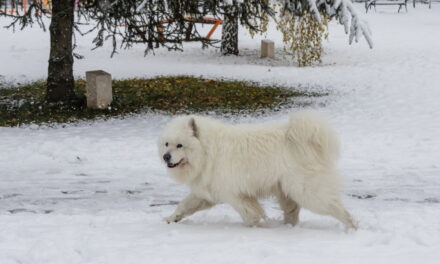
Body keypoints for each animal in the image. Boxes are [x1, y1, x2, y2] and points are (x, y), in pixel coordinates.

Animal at [158, 112, 358, 229]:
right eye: (166, 144)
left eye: (180, 145)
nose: (166, 157)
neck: (207, 151)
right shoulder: (208, 192)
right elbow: (184, 205)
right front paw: (171, 218)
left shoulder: (233, 193)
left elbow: (249, 213)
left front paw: (256, 226)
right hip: (286, 192)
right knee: (293, 212)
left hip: (306, 191)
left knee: (336, 207)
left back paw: (352, 226)